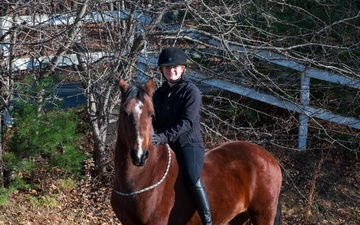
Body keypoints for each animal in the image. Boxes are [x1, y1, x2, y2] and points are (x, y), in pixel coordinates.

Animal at [111, 79, 282, 225]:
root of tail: (269, 157)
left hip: (263, 215)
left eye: (151, 114)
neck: (145, 177)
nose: (140, 155)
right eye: (124, 113)